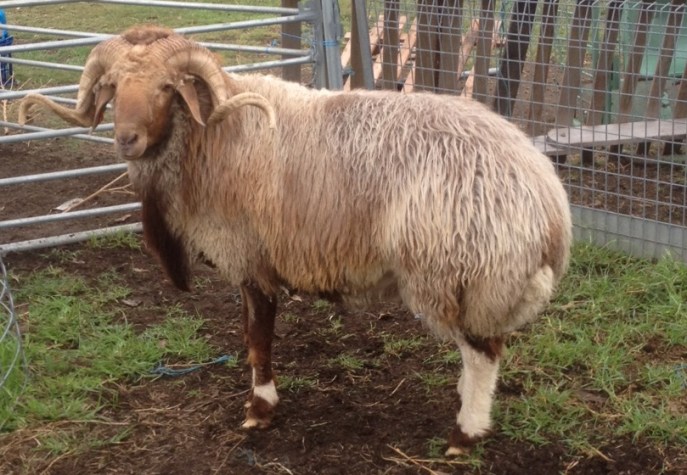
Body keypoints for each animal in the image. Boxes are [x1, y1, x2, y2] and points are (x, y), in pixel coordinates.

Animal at [20, 25, 572, 456]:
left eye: (165, 87)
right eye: (112, 86)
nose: (125, 140)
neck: (210, 136)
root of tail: (549, 202)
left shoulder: (249, 256)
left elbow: (257, 338)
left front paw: (259, 409)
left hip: (458, 270)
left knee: (483, 353)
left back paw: (465, 433)